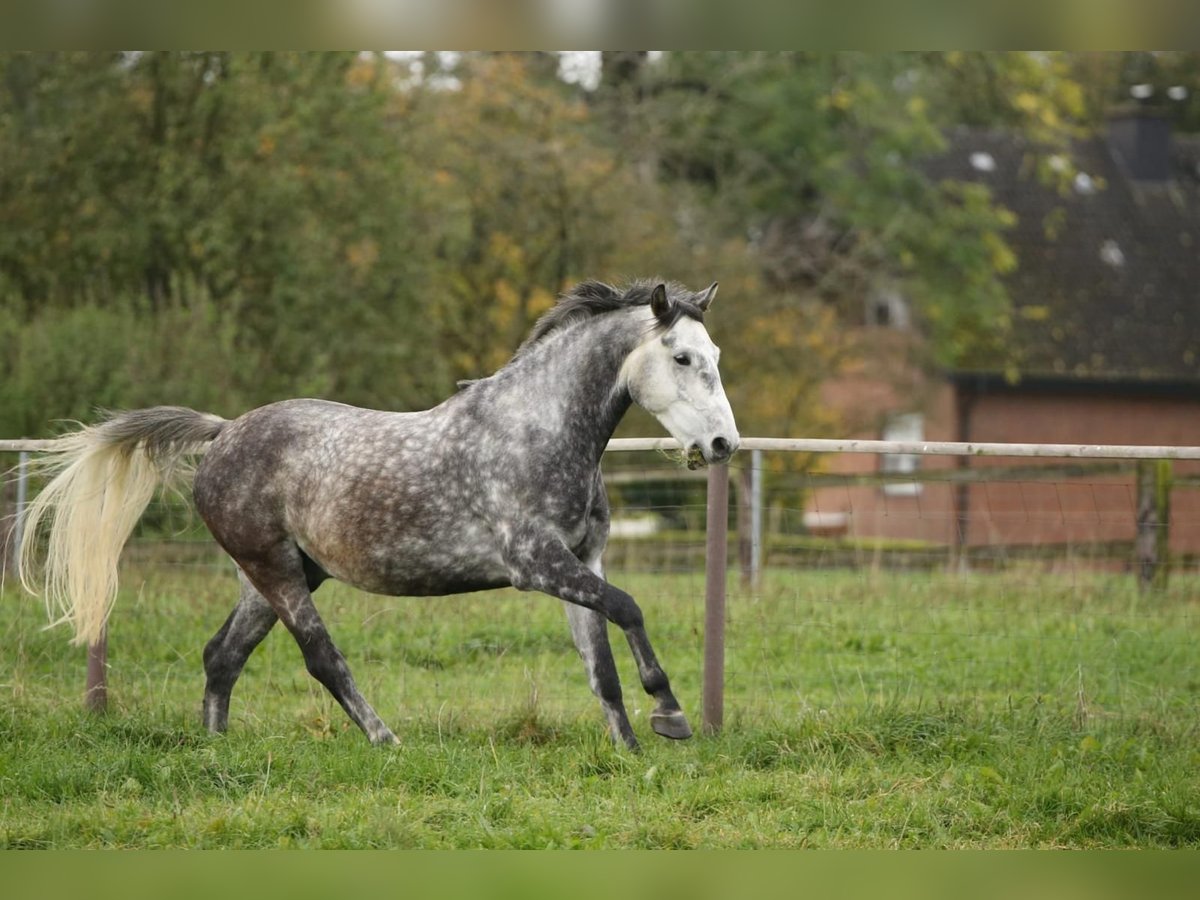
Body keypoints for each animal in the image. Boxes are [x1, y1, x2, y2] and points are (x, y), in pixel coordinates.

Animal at [21, 280, 739, 748]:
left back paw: (215, 748)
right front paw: (671, 715)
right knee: (321, 659)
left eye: (716, 357)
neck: (537, 430)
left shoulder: (582, 559)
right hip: (276, 572)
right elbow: (628, 610)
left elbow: (601, 667)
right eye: (681, 357)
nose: (723, 445)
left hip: (279, 574)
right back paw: (385, 741)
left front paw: (631, 750)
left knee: (222, 655)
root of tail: (223, 433)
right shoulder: (536, 563)